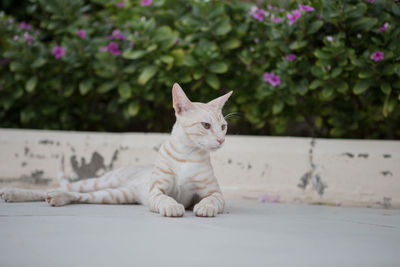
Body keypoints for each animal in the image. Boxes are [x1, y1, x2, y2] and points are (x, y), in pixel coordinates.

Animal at [0, 84, 233, 218]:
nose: (222, 140)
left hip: (115, 195)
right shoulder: (157, 190)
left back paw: (58, 198)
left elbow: (211, 199)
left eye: (223, 127)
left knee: (80, 196)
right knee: (60, 187)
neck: (187, 154)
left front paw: (205, 207)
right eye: (205, 125)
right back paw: (14, 193)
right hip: (102, 182)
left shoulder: (215, 193)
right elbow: (164, 199)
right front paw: (172, 206)